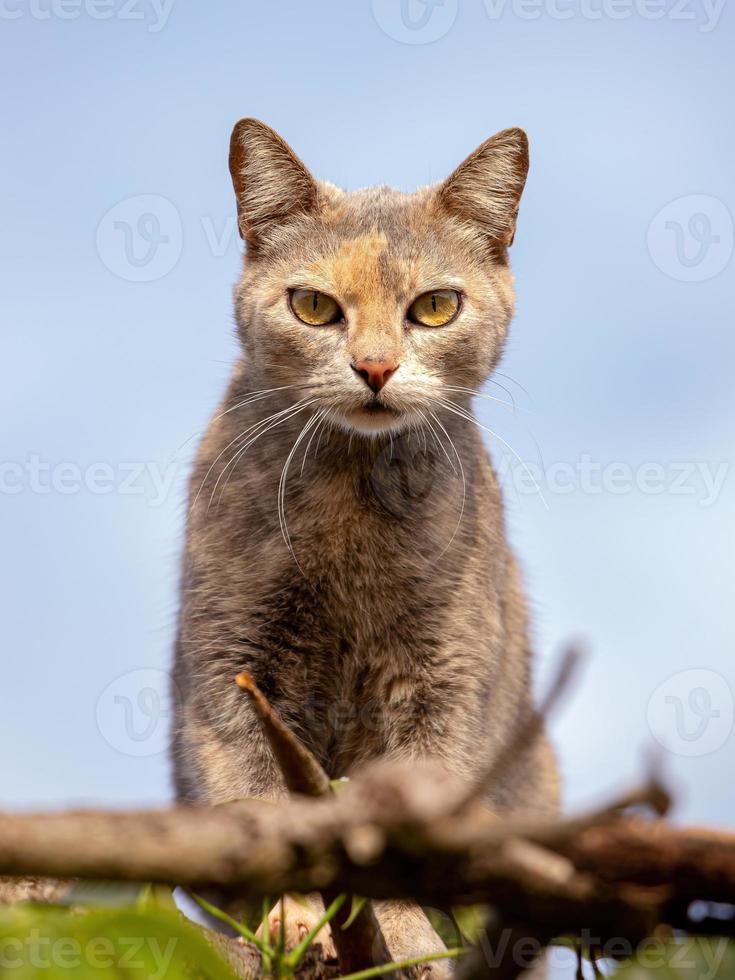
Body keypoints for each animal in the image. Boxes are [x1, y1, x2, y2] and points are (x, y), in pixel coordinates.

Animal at [172, 118, 556, 976]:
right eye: (314, 306)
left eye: (436, 307)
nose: (374, 367)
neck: (352, 500)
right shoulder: (230, 674)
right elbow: (258, 801)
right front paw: (291, 920)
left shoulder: (442, 686)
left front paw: (405, 940)